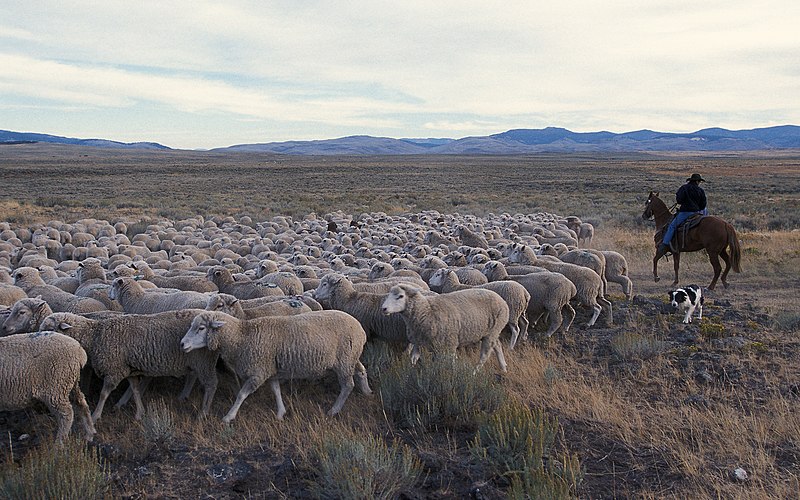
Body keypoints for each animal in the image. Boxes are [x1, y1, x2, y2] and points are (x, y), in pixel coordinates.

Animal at [39, 308, 217, 422]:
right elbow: (136, 389)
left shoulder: (114, 370)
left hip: (203, 361)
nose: (37, 338)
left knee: (210, 385)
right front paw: (140, 413)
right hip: (197, 362)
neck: (95, 335)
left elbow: (104, 394)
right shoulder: (127, 369)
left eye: (50, 328)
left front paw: (96, 415)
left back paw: (203, 412)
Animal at [180, 312, 370, 422]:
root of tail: (360, 328)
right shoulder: (270, 370)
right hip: (351, 358)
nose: (182, 344)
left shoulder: (258, 372)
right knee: (361, 371)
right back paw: (367, 391)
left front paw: (228, 416)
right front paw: (281, 413)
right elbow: (276, 390)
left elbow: (241, 394)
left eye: (201, 328)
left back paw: (334, 410)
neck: (242, 336)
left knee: (347, 386)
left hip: (344, 361)